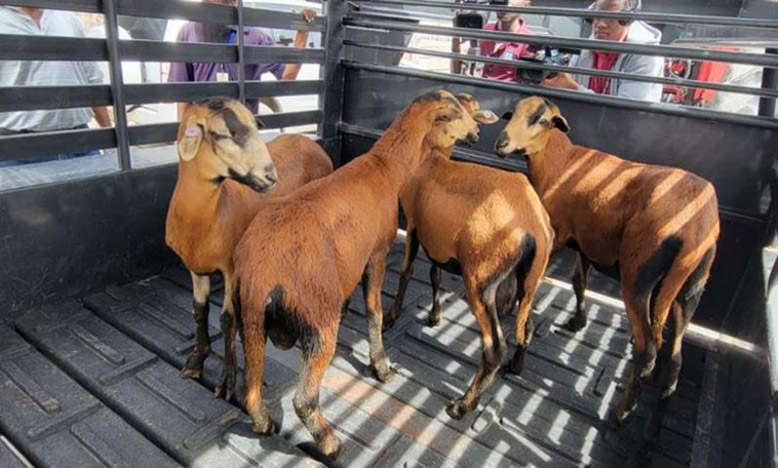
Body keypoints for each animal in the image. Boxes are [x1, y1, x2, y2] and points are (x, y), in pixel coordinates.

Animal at [165, 97, 332, 400]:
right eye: (221, 134)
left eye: (256, 127)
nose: (270, 176)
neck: (210, 215)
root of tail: (310, 141)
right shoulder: (196, 268)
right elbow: (198, 312)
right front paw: (196, 361)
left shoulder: (231, 268)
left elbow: (227, 320)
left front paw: (227, 380)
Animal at [233, 89, 482, 458]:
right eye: (457, 115)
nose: (477, 134)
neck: (386, 168)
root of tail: (259, 272)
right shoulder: (376, 253)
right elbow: (375, 311)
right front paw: (381, 365)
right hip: (318, 320)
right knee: (303, 399)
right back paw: (330, 442)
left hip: (249, 320)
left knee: (250, 390)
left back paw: (263, 424)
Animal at [384, 93, 556, 418]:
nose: (476, 135)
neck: (431, 159)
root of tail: (534, 226)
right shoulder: (437, 239)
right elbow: (435, 274)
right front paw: (434, 315)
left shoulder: (413, 225)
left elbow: (406, 271)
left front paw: (391, 316)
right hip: (529, 280)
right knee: (526, 326)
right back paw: (516, 366)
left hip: (481, 279)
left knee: (494, 348)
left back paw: (463, 405)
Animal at [494, 95, 720, 438]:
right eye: (512, 114)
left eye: (542, 120)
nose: (501, 143)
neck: (559, 161)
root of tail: (696, 227)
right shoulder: (587, 241)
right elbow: (579, 281)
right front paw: (578, 321)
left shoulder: (557, 234)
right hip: (691, 286)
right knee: (674, 358)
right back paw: (652, 428)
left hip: (639, 273)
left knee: (647, 349)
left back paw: (621, 413)